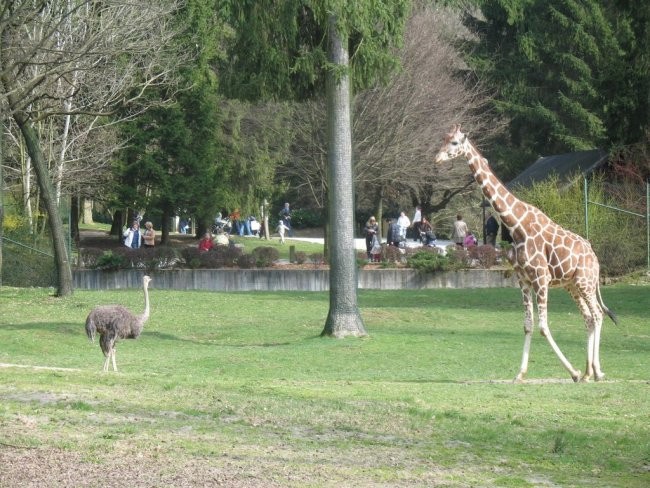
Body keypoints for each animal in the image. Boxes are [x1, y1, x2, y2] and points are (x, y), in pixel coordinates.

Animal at [432, 125, 616, 382]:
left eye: (455, 142)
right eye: (444, 139)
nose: (437, 158)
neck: (516, 224)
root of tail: (595, 258)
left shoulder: (541, 277)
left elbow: (543, 326)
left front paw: (574, 372)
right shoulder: (524, 279)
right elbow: (528, 325)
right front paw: (520, 374)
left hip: (585, 282)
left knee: (597, 314)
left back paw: (595, 371)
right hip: (572, 286)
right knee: (589, 317)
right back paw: (591, 371)